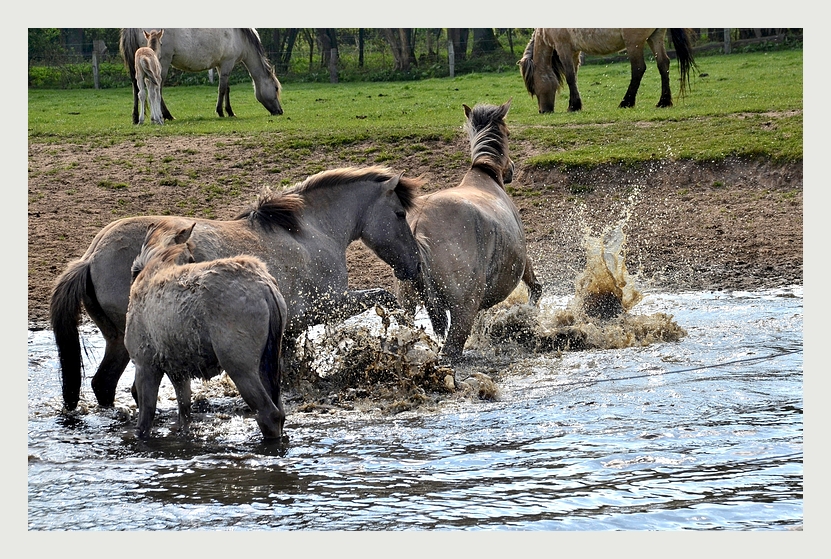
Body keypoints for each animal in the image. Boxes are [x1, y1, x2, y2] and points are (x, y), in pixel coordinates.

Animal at [53, 165, 422, 412]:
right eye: (399, 213)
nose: (415, 264)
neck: (308, 231)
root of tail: (91, 256)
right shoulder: (325, 305)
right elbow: (383, 297)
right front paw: (404, 330)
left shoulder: (288, 328)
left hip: (118, 340)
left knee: (103, 384)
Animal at [118, 27, 282, 123]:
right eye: (275, 89)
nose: (280, 111)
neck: (240, 36)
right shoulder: (227, 63)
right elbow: (222, 89)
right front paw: (222, 111)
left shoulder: (221, 65)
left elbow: (227, 89)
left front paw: (229, 111)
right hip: (161, 65)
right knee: (156, 90)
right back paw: (165, 115)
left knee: (138, 89)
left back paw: (136, 117)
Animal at [124, 222, 290, 442]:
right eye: (191, 258)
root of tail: (266, 287)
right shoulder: (178, 370)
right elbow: (185, 414)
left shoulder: (145, 364)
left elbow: (145, 422)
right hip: (268, 362)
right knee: (280, 412)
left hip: (240, 366)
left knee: (268, 414)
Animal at [398, 99, 544, 366]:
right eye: (508, 133)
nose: (512, 169)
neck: (486, 177)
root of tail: (419, 227)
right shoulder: (522, 258)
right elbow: (535, 287)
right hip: (462, 308)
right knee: (450, 350)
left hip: (408, 306)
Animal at [520, 27, 696, 113]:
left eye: (534, 88)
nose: (543, 111)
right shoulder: (574, 52)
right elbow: (574, 77)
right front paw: (576, 103)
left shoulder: (563, 47)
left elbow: (570, 77)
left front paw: (573, 106)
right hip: (655, 37)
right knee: (663, 65)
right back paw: (664, 101)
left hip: (634, 43)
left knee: (638, 68)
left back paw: (626, 102)